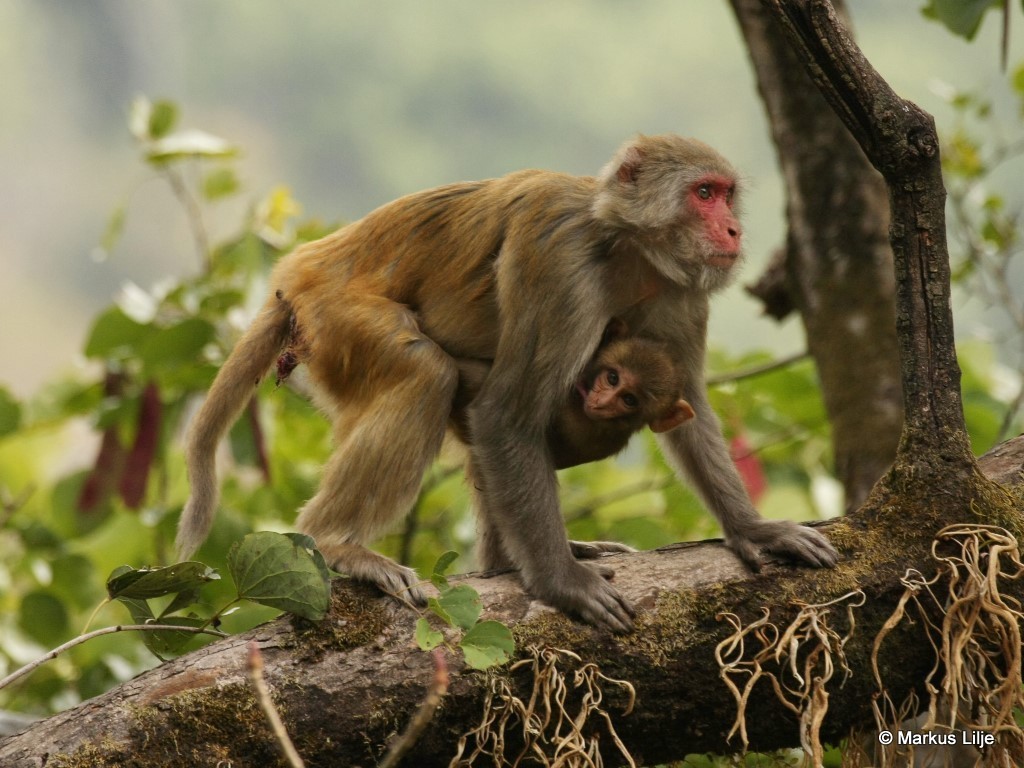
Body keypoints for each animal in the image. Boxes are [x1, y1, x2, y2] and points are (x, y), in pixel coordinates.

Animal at [177, 133, 838, 633]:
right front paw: (560, 583)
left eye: (727, 196)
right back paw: (338, 544)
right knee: (429, 373)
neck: (625, 247)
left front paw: (754, 529)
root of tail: (298, 273)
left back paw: (501, 561)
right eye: (704, 194)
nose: (732, 232)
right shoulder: (561, 265)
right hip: (338, 318)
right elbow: (507, 415)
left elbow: (687, 407)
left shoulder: (682, 289)